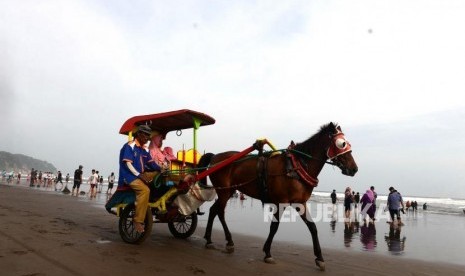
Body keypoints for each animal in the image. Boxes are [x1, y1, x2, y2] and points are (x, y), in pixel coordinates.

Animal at [198, 122, 358, 270]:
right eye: (342, 144)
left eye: (348, 143)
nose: (354, 169)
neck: (296, 166)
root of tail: (215, 156)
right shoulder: (281, 203)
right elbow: (274, 227)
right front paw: (267, 252)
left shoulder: (300, 203)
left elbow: (312, 227)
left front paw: (319, 257)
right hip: (224, 192)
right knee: (219, 212)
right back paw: (227, 241)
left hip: (229, 191)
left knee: (213, 210)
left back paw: (210, 239)